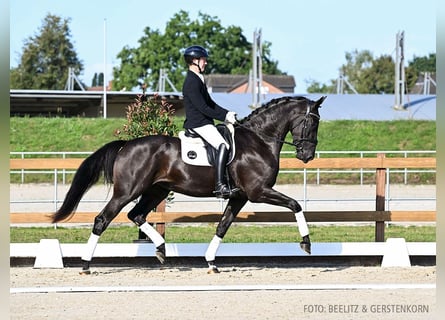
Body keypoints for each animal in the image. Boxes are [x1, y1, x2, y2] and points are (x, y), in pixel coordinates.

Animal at [52, 95, 324, 272]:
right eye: (312, 122)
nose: (307, 155)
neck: (258, 141)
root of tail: (127, 144)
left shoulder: (240, 196)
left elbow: (223, 226)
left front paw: (211, 261)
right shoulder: (258, 192)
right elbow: (295, 205)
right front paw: (306, 243)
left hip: (156, 190)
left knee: (136, 215)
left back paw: (161, 248)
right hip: (127, 191)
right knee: (103, 219)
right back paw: (86, 264)